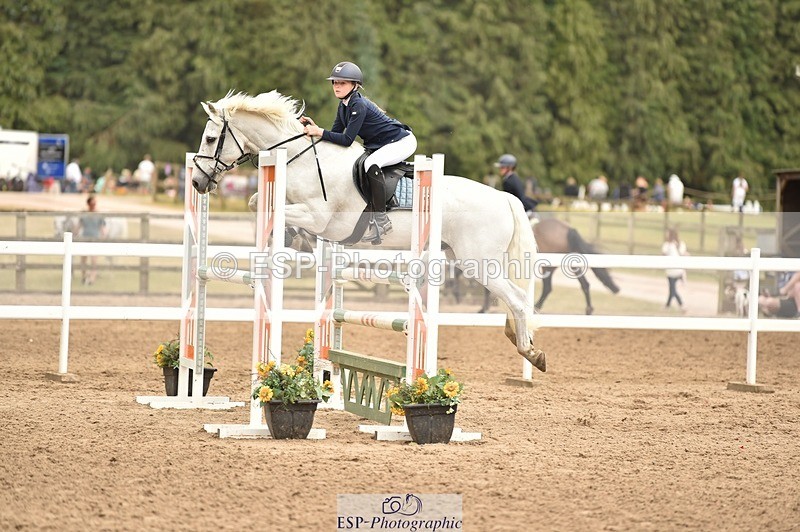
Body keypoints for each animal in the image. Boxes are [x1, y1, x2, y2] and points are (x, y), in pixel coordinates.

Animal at [191, 90, 546, 372]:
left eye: (210, 139)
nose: (196, 182)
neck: (300, 159)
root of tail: (503, 197)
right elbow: (257, 203)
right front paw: (295, 239)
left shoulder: (319, 217)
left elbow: (275, 211)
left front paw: (294, 239)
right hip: (460, 257)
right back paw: (521, 340)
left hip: (480, 263)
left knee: (517, 299)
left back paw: (531, 351)